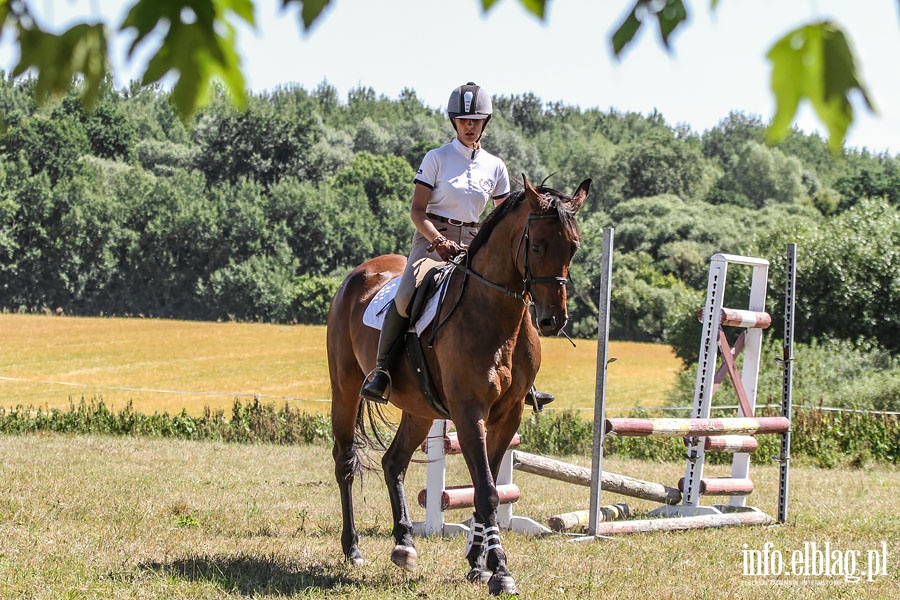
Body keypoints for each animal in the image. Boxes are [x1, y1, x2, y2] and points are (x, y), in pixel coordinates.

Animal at [326, 175, 588, 596]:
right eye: (536, 245)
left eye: (573, 247)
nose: (553, 320)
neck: (497, 316)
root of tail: (360, 273)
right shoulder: (468, 413)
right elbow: (487, 491)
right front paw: (500, 571)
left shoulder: (507, 417)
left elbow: (487, 489)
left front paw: (478, 563)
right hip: (346, 389)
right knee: (346, 462)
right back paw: (353, 549)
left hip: (418, 409)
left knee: (393, 462)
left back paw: (404, 544)